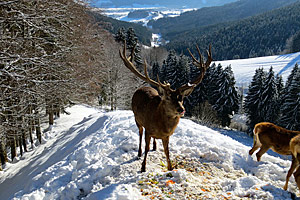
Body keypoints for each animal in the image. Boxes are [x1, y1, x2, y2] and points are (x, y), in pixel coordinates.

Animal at [118, 43, 212, 171]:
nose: (181, 109)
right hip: (137, 119)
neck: (162, 127)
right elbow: (146, 148)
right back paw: (139, 153)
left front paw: (170, 168)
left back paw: (154, 146)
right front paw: (143, 167)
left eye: (181, 98)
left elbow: (167, 151)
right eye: (167, 98)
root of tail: (141, 88)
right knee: (140, 134)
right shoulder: (148, 129)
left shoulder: (167, 136)